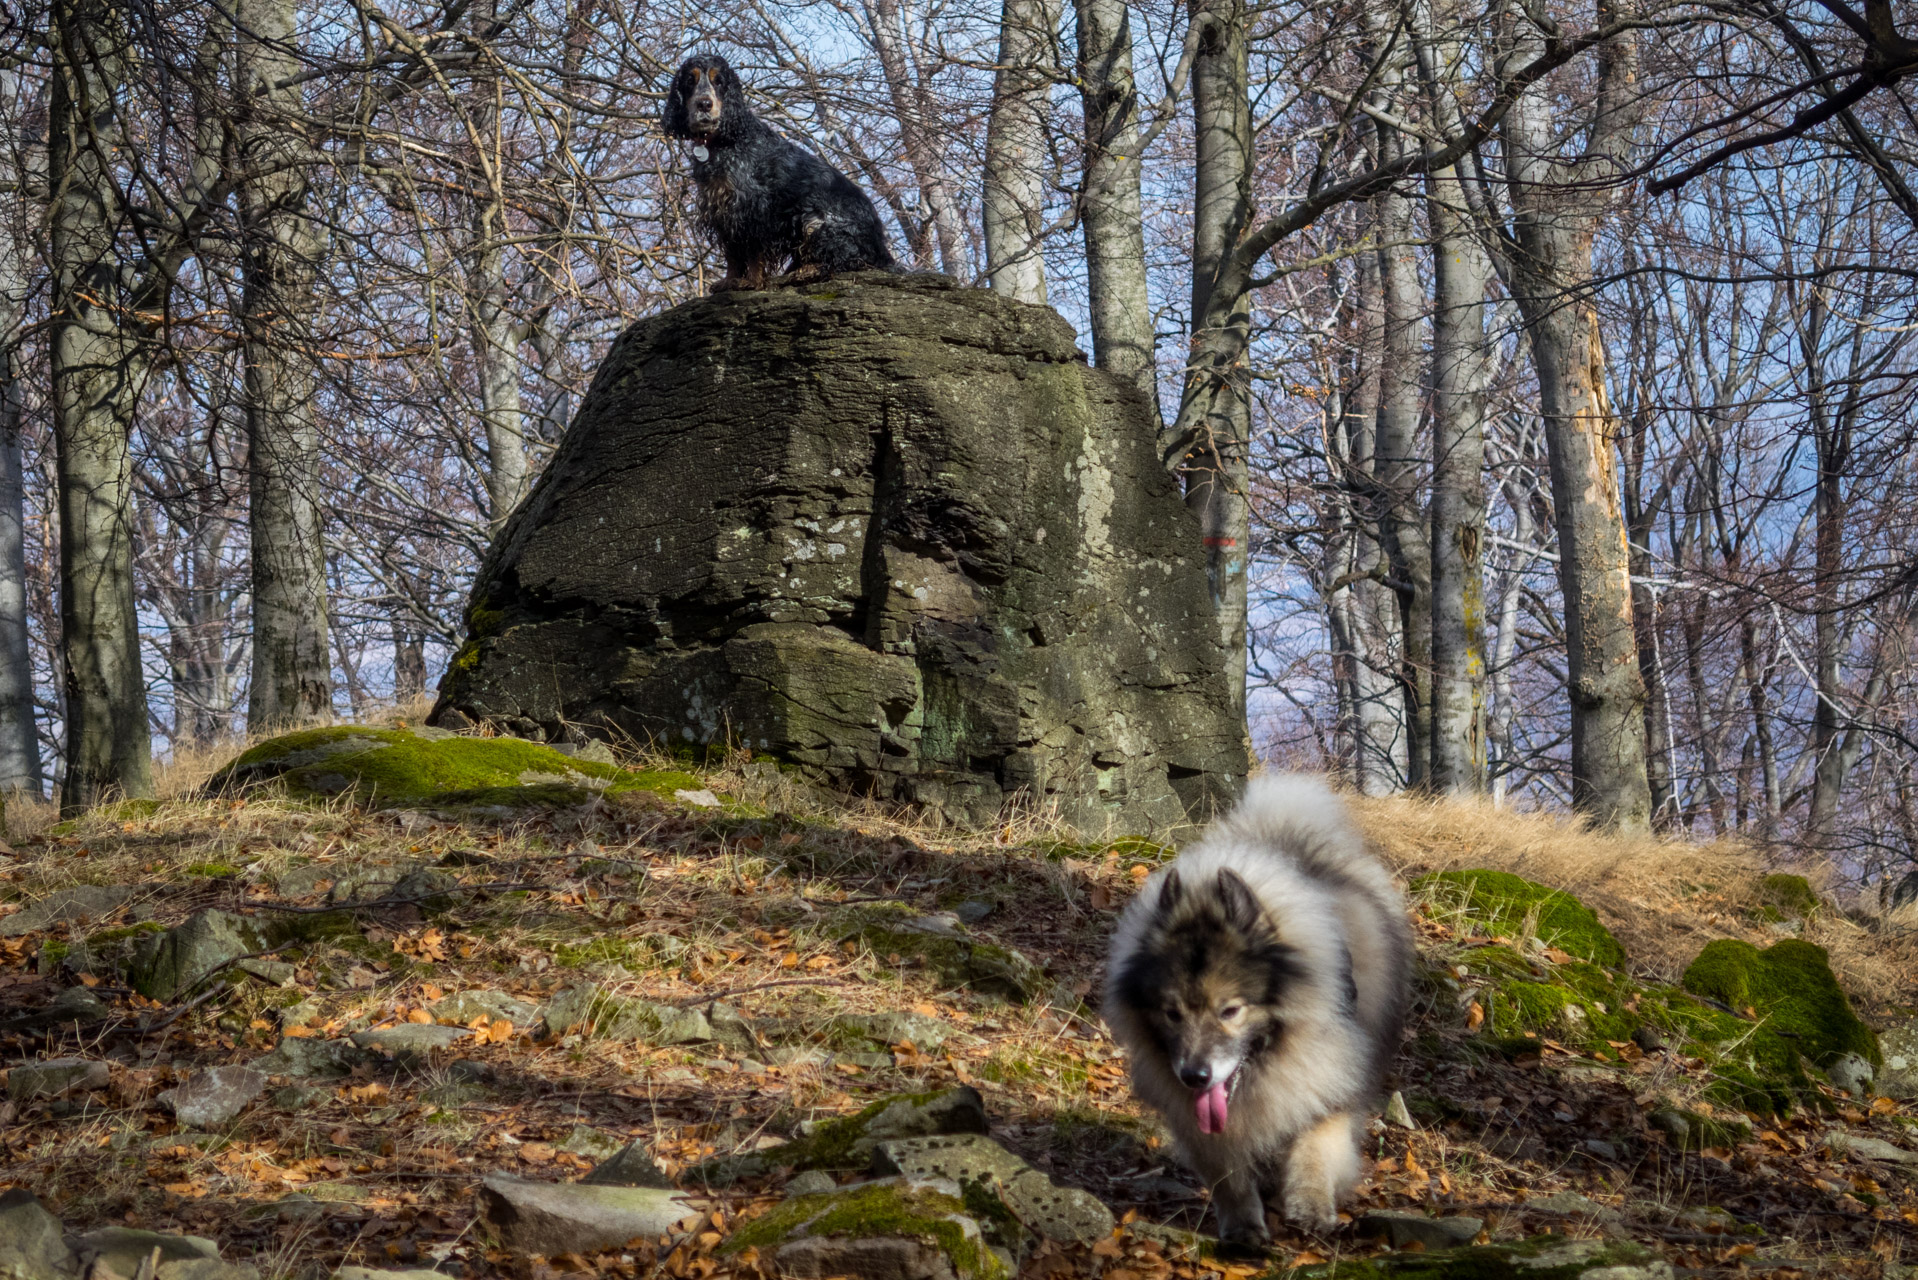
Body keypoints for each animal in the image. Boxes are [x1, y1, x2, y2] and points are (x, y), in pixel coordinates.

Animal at [663, 55, 893, 289]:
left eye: (718, 81)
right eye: (690, 81)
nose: (704, 104)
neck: (724, 141)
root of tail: (881, 248)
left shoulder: (752, 207)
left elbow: (753, 251)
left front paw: (752, 282)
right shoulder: (722, 209)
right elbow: (732, 253)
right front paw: (729, 280)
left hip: (815, 220)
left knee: (845, 259)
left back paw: (806, 271)